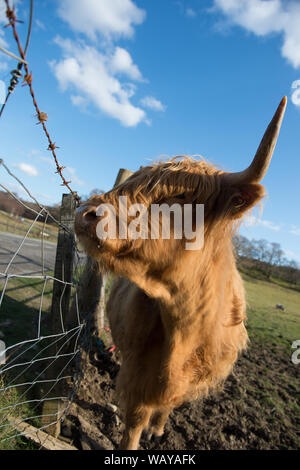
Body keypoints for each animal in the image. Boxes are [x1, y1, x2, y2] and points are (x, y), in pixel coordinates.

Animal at [74, 97, 286, 450]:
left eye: (182, 196)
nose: (85, 213)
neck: (185, 325)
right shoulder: (137, 370)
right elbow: (135, 418)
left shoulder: (191, 378)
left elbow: (167, 405)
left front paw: (158, 430)